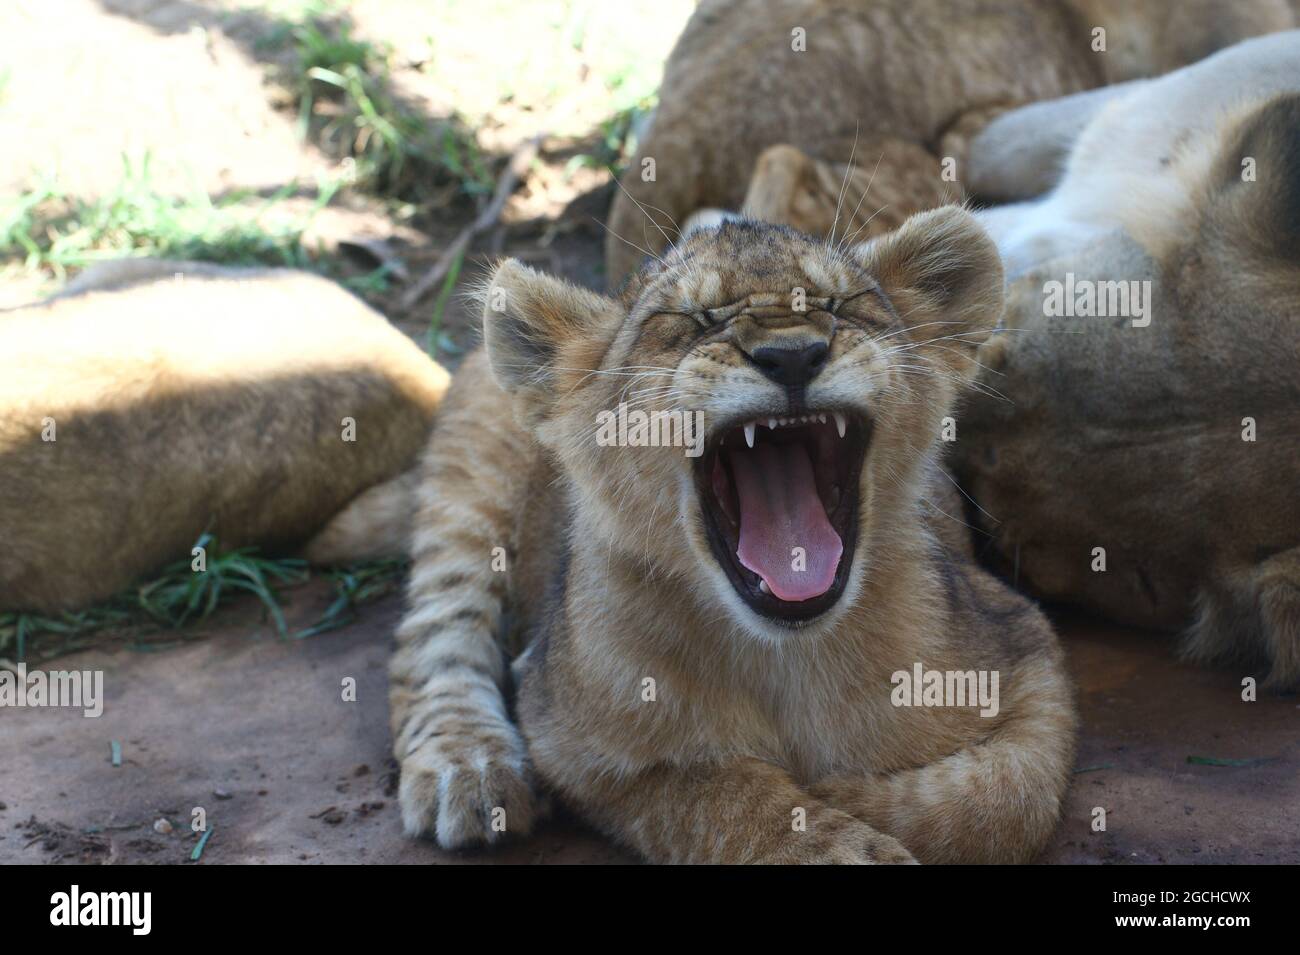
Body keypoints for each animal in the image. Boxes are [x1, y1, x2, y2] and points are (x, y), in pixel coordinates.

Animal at [388, 205, 1078, 863]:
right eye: (692, 320)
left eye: (839, 305)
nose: (793, 355)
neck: (784, 654)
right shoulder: (568, 736)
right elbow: (723, 799)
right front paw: (839, 837)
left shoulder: (1024, 646)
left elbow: (1007, 798)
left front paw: (849, 793)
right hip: (469, 478)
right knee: (434, 630)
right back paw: (469, 771)